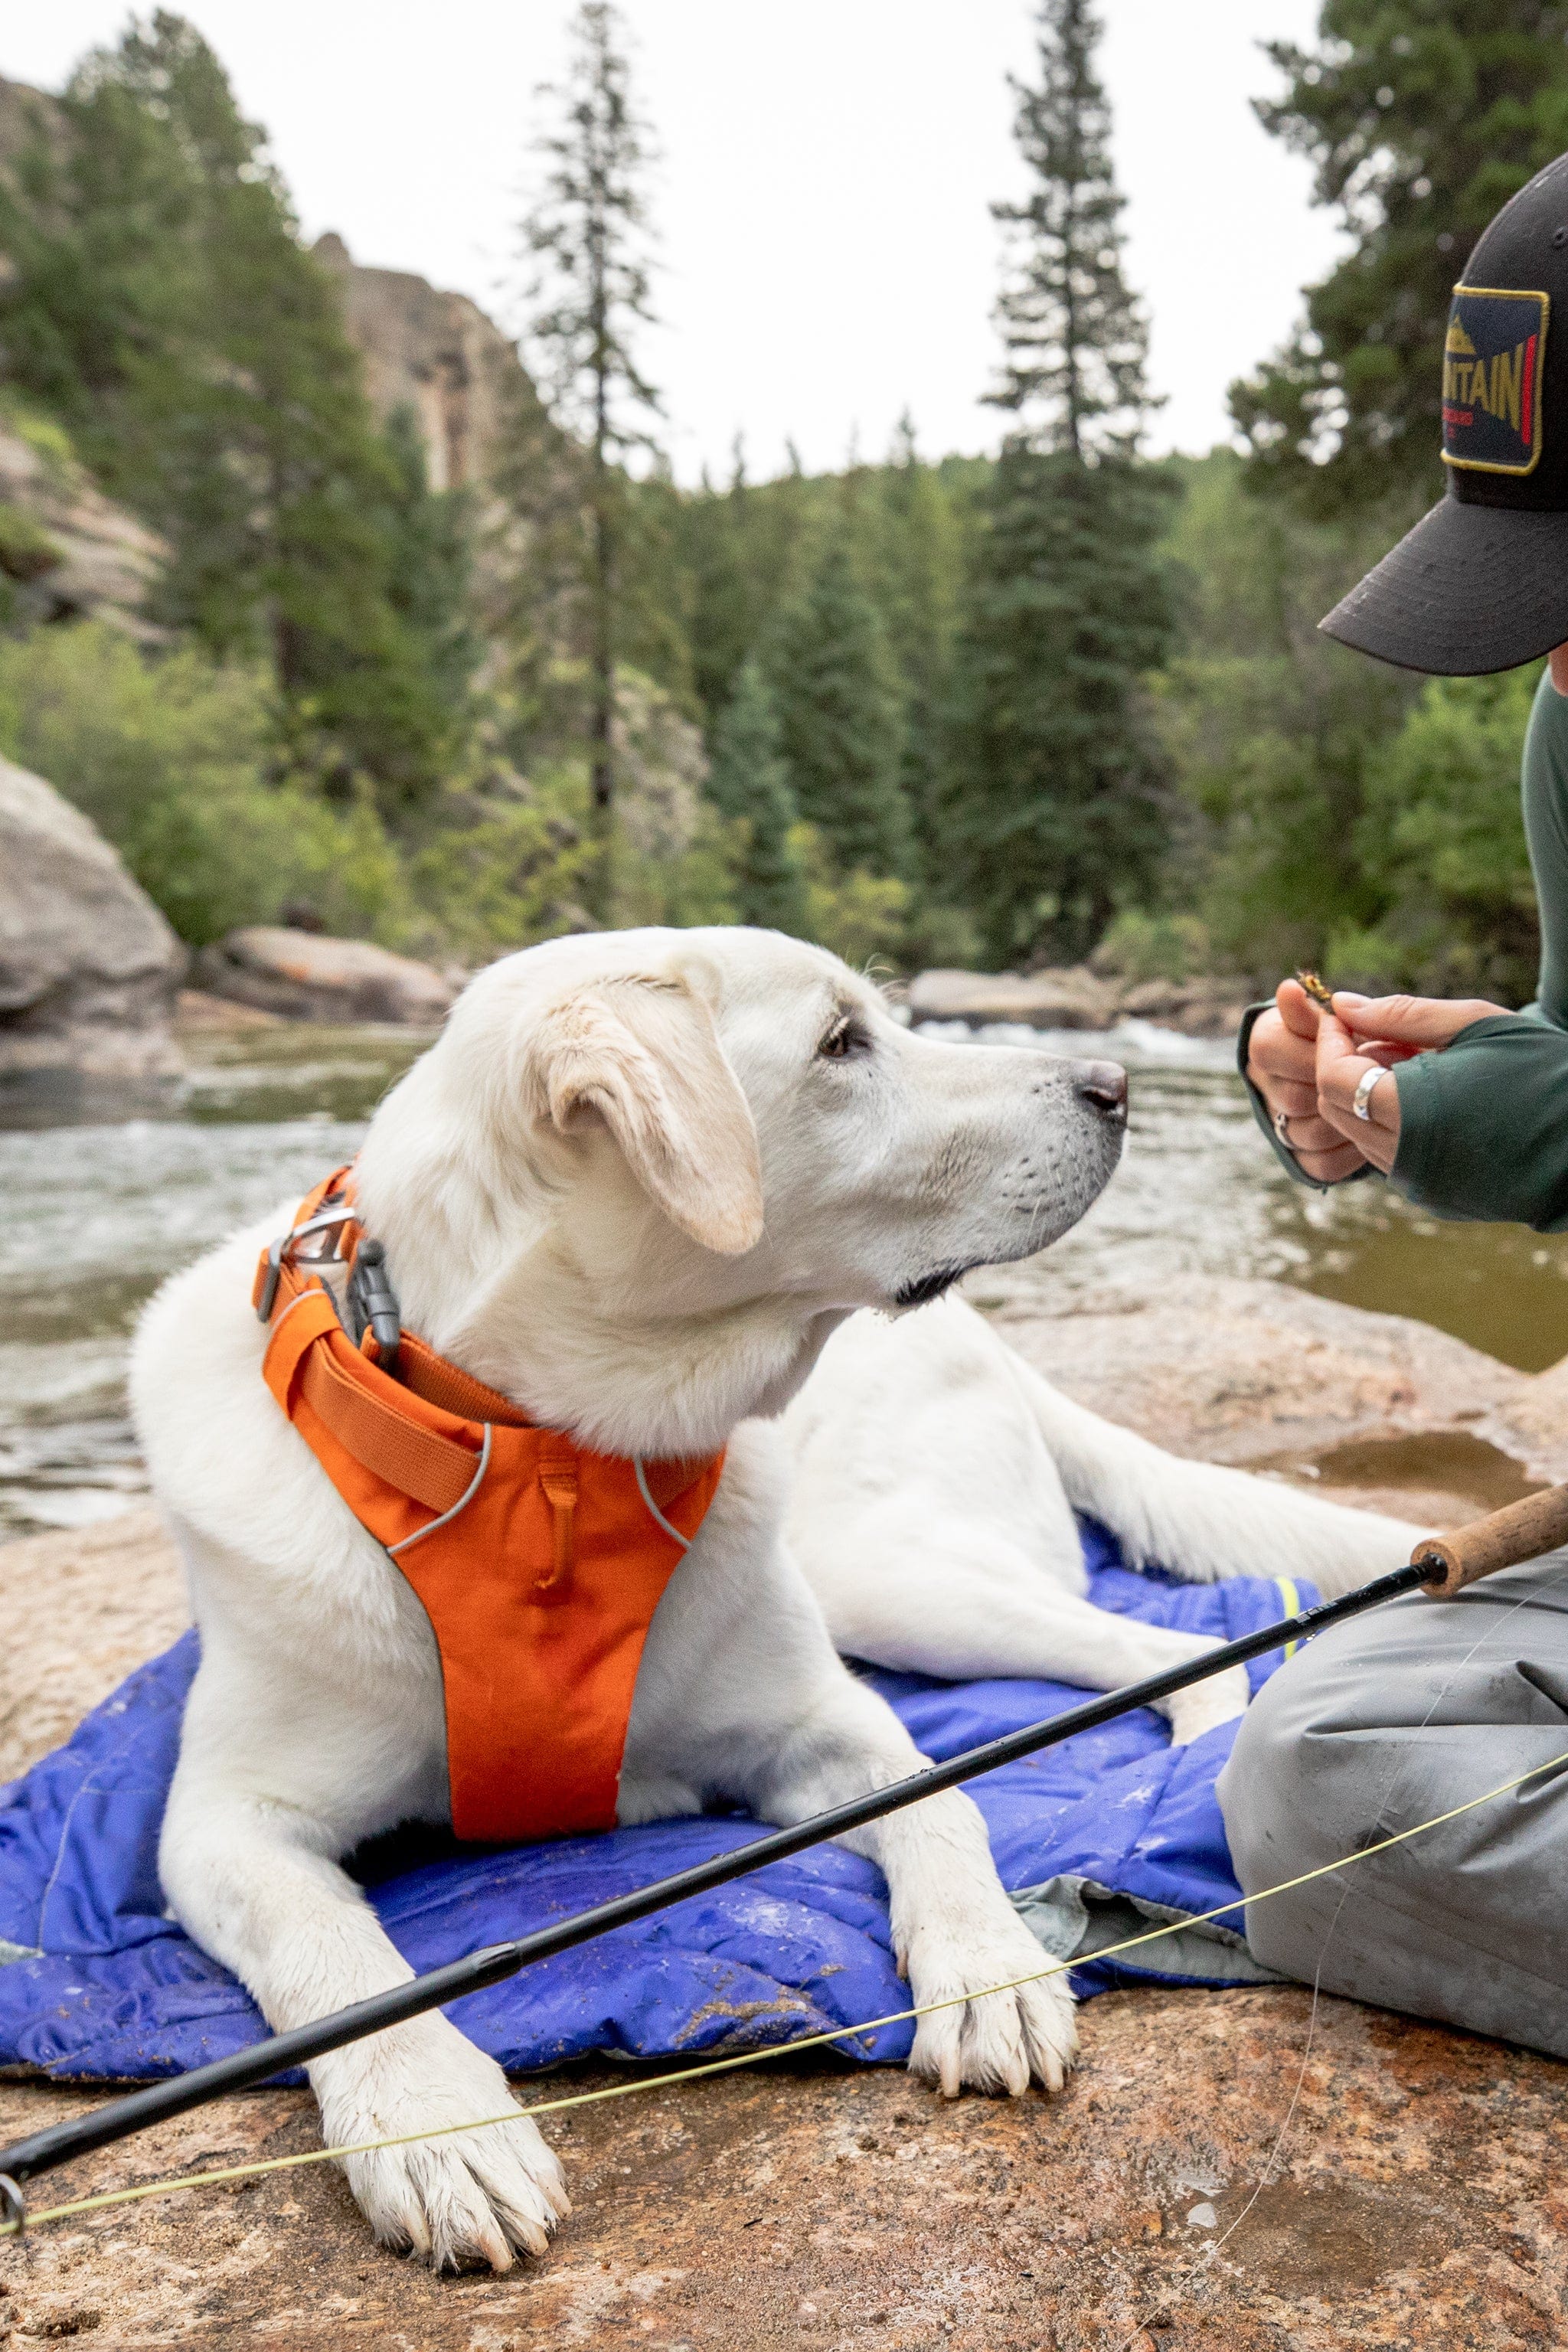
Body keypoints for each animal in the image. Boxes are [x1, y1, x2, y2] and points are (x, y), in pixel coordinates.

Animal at [129, 926, 1419, 2267]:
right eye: (842, 1043)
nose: (1117, 1085)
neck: (546, 1475)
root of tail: (1001, 1349)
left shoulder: (827, 1721)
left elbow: (944, 1805)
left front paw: (989, 1966)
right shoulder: (225, 1825)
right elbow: (338, 1953)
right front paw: (432, 2122)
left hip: (890, 1582)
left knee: (1178, 1650)